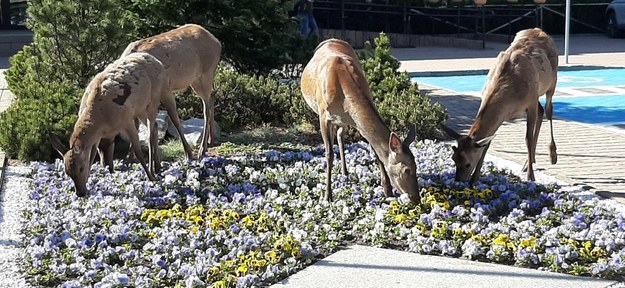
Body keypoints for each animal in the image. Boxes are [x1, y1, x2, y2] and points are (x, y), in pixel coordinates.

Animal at [50, 53, 166, 197]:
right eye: (67, 172)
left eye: (81, 168)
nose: (80, 193)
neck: (101, 120)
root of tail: (156, 61)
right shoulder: (100, 137)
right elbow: (95, 157)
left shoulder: (127, 121)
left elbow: (138, 151)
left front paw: (150, 178)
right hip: (141, 110)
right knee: (155, 126)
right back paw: (158, 167)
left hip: (154, 100)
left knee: (151, 132)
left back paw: (153, 170)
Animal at [119, 23, 222, 160]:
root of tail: (217, 42)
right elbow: (136, 124)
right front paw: (130, 157)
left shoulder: (165, 88)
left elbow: (175, 119)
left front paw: (188, 152)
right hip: (195, 79)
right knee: (211, 100)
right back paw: (211, 140)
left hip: (206, 73)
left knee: (207, 108)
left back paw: (202, 150)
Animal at [302, 38, 422, 205]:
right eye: (407, 170)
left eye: (416, 166)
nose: (416, 199)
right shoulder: (323, 115)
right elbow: (329, 154)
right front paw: (327, 196)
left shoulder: (355, 119)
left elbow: (376, 151)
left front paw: (387, 190)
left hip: (343, 121)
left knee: (340, 136)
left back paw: (345, 172)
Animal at [442, 27, 560, 184]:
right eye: (454, 158)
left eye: (467, 163)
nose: (458, 181)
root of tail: (540, 30)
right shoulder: (507, 112)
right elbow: (488, 142)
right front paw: (475, 178)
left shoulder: (530, 101)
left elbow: (527, 139)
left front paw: (531, 177)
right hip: (537, 96)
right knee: (541, 111)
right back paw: (528, 162)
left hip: (552, 81)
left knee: (549, 110)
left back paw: (552, 155)